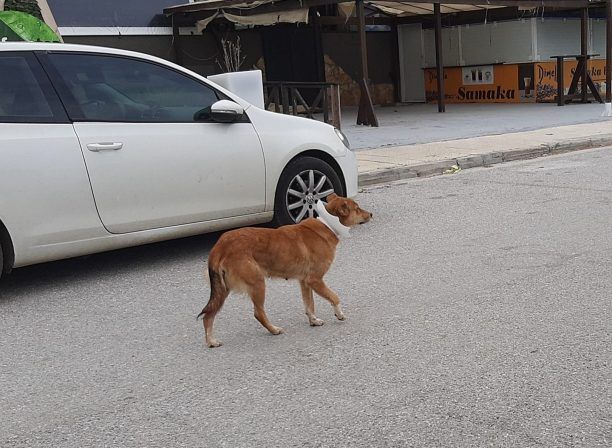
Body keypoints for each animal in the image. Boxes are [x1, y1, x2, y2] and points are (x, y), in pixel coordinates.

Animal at [197, 194, 368, 348]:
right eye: (357, 208)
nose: (371, 214)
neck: (328, 224)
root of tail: (220, 247)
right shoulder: (315, 280)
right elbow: (334, 297)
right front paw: (339, 314)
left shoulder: (305, 282)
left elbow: (309, 305)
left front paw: (313, 321)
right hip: (257, 283)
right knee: (258, 313)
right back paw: (274, 330)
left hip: (222, 289)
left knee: (208, 316)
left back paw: (211, 341)